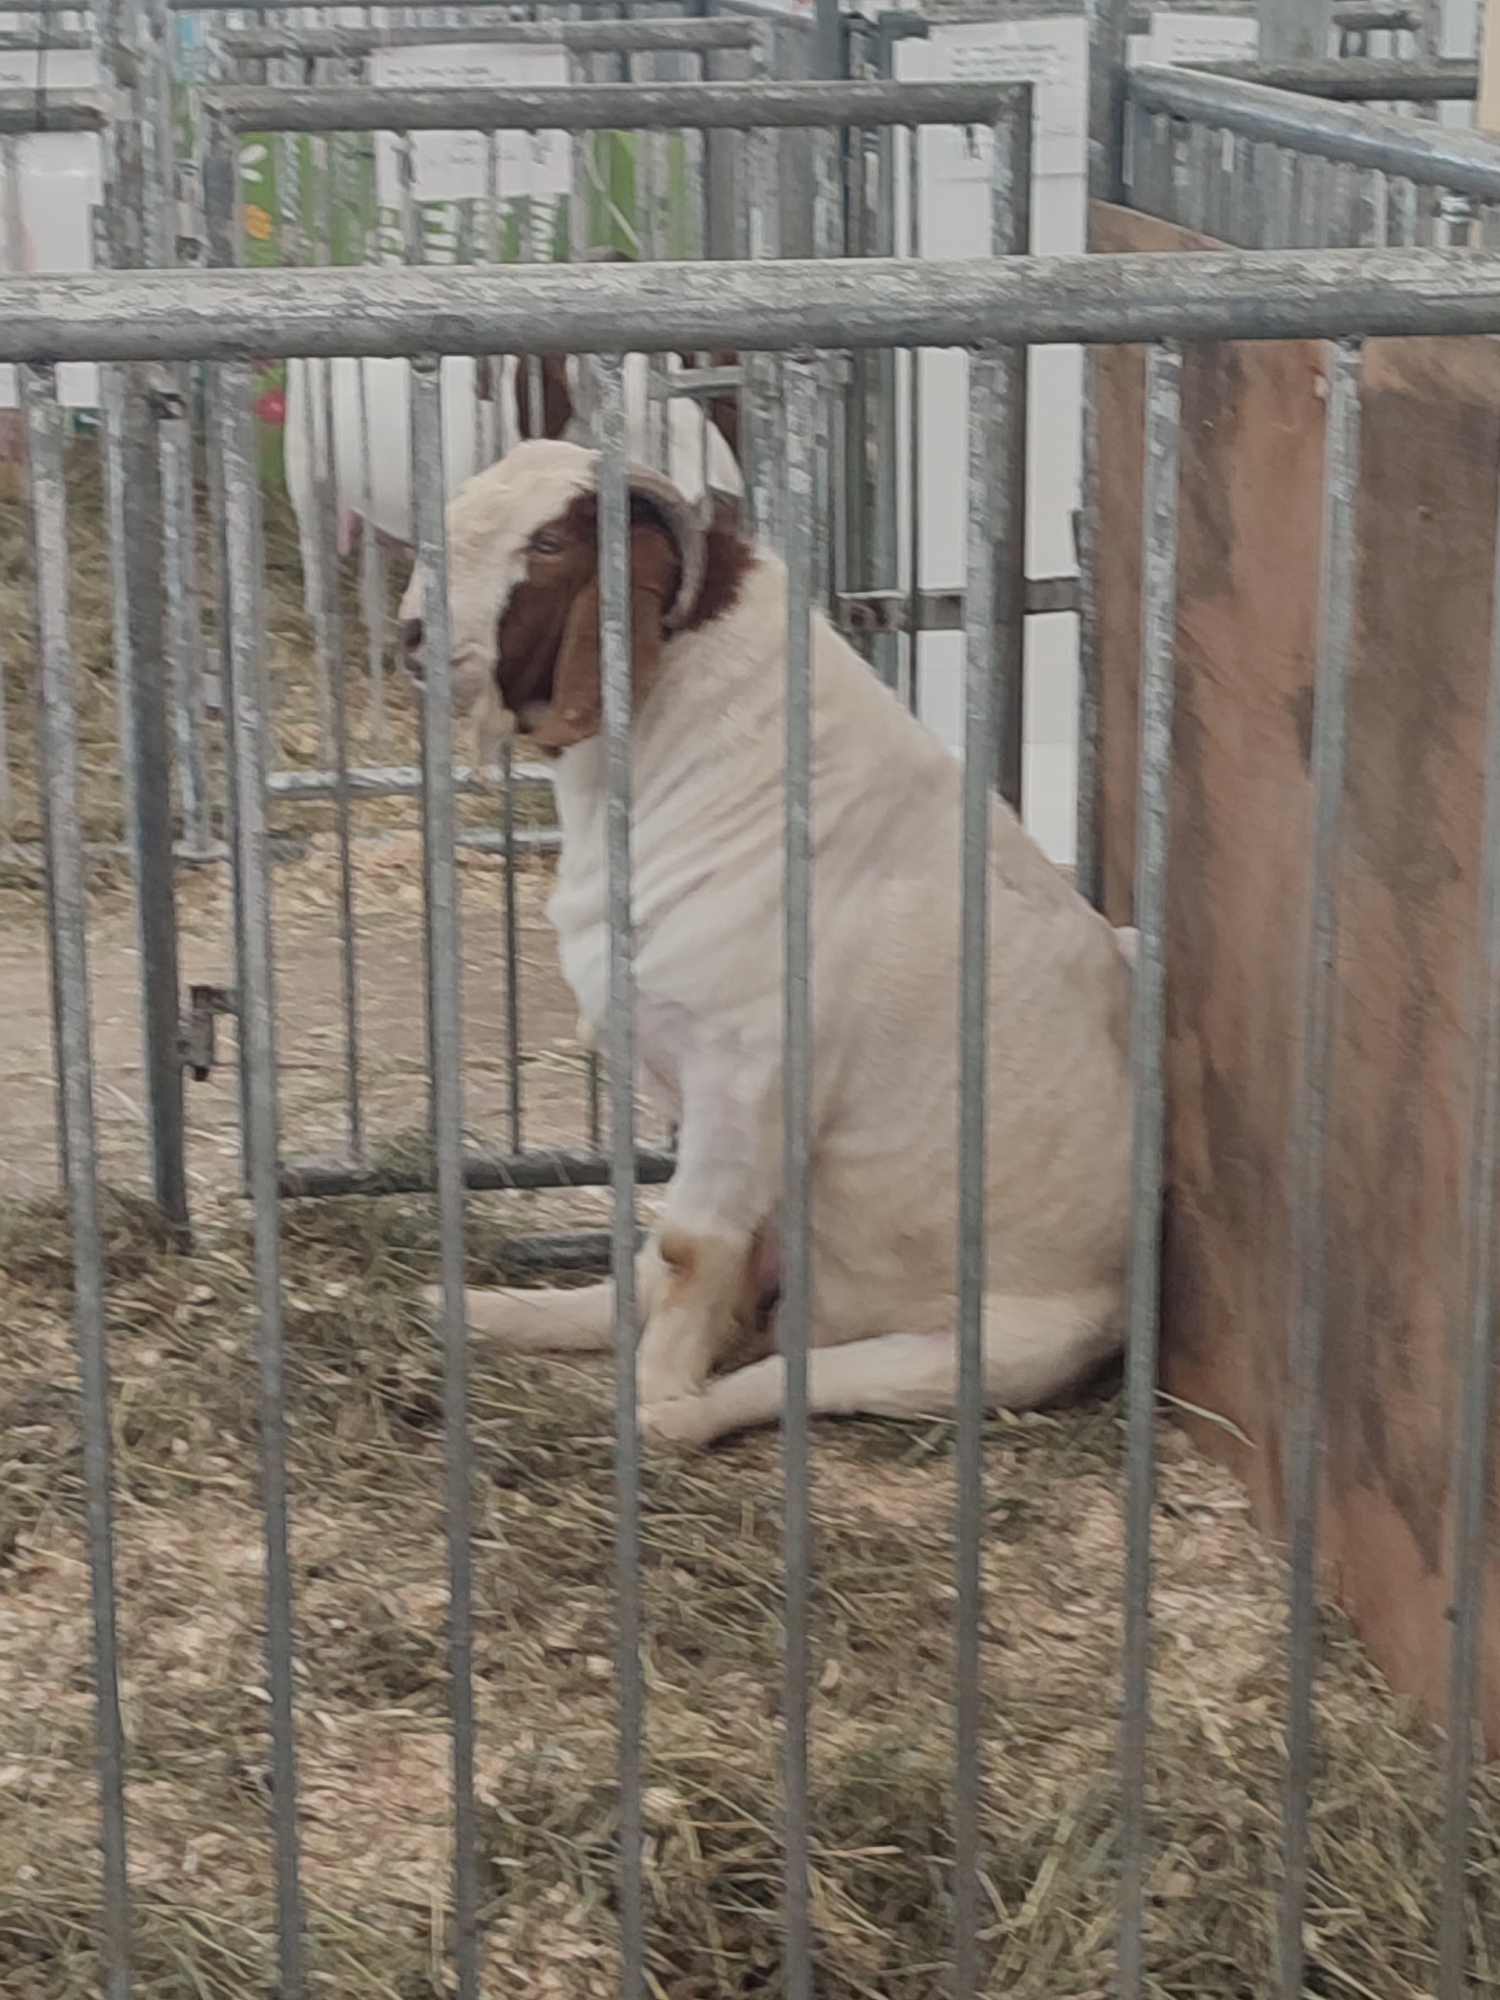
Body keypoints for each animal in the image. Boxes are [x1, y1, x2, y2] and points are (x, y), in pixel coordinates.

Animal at [399, 439, 1134, 1451]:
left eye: (548, 545)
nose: (412, 638)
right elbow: (671, 1256)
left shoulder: (745, 1081)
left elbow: (691, 1248)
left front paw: (657, 1394)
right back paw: (468, 1310)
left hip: (981, 1353)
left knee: (789, 1373)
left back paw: (666, 1416)